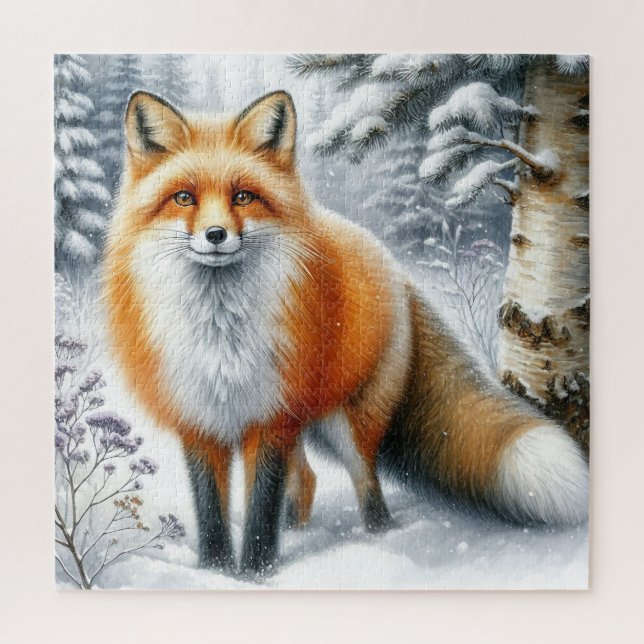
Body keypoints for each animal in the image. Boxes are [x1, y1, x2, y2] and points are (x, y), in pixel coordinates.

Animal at [104, 90, 589, 578]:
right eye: (184, 198)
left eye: (244, 197)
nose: (216, 234)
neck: (220, 335)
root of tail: (392, 266)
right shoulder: (200, 422)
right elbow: (211, 514)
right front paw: (218, 572)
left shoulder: (270, 421)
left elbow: (260, 509)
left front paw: (257, 572)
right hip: (305, 422)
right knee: (307, 480)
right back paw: (297, 533)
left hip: (345, 423)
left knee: (368, 487)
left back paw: (376, 542)